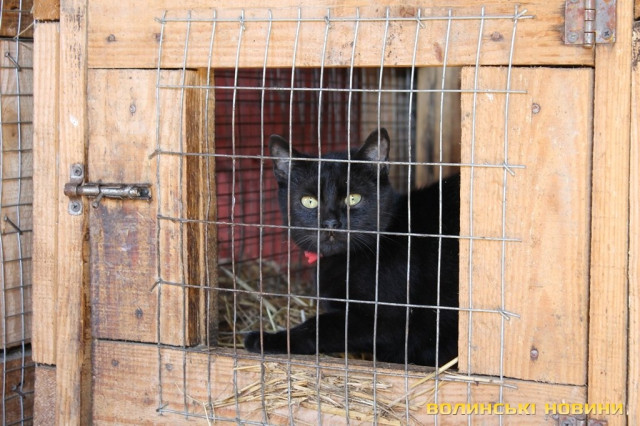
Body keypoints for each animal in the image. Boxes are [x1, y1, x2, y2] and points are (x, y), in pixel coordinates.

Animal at [244, 128, 459, 366]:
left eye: (353, 199)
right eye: (309, 201)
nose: (330, 223)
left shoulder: (390, 320)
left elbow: (321, 325)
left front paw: (268, 339)